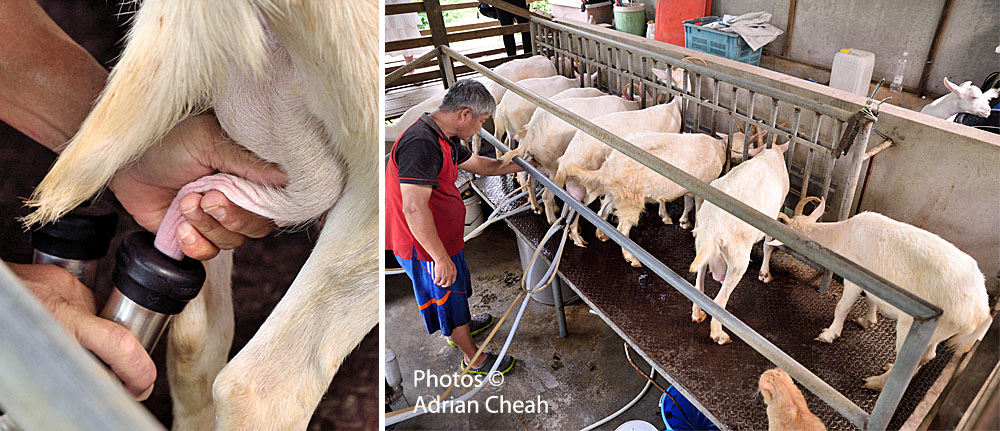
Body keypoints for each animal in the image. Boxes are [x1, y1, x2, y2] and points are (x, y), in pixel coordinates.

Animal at [568, 132, 724, 266]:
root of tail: (608, 167)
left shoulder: (689, 189)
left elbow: (688, 204)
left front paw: (684, 222)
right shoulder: (704, 188)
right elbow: (698, 209)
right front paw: (694, 230)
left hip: (616, 193)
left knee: (600, 210)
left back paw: (599, 235)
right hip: (631, 199)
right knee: (621, 229)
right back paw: (632, 259)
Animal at [688, 145, 788, 344]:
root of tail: (713, 228)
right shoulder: (773, 216)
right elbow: (768, 244)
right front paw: (765, 274)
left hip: (700, 242)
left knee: (698, 285)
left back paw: (698, 314)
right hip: (737, 257)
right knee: (719, 301)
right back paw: (720, 335)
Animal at [768, 198, 988, 392]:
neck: (842, 234)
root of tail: (980, 314)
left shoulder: (854, 277)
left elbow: (842, 307)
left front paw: (829, 334)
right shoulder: (874, 283)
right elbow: (870, 298)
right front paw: (868, 321)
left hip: (912, 327)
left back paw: (875, 383)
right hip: (940, 332)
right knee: (928, 356)